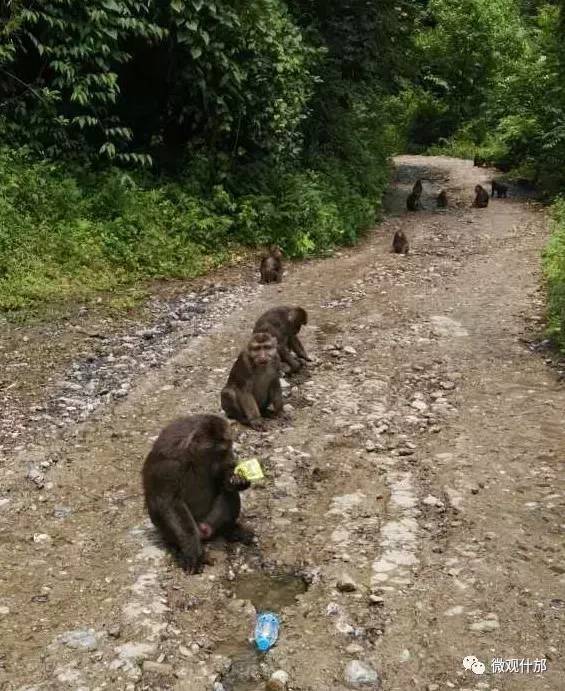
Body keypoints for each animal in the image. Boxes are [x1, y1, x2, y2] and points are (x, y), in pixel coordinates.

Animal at [143, 416, 251, 572]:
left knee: (227, 492)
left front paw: (237, 480)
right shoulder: (168, 466)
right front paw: (193, 552)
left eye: (227, 449)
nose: (231, 460)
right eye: (220, 452)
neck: (193, 457)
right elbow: (168, 503)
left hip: (212, 521)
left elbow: (224, 480)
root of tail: (204, 529)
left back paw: (228, 529)